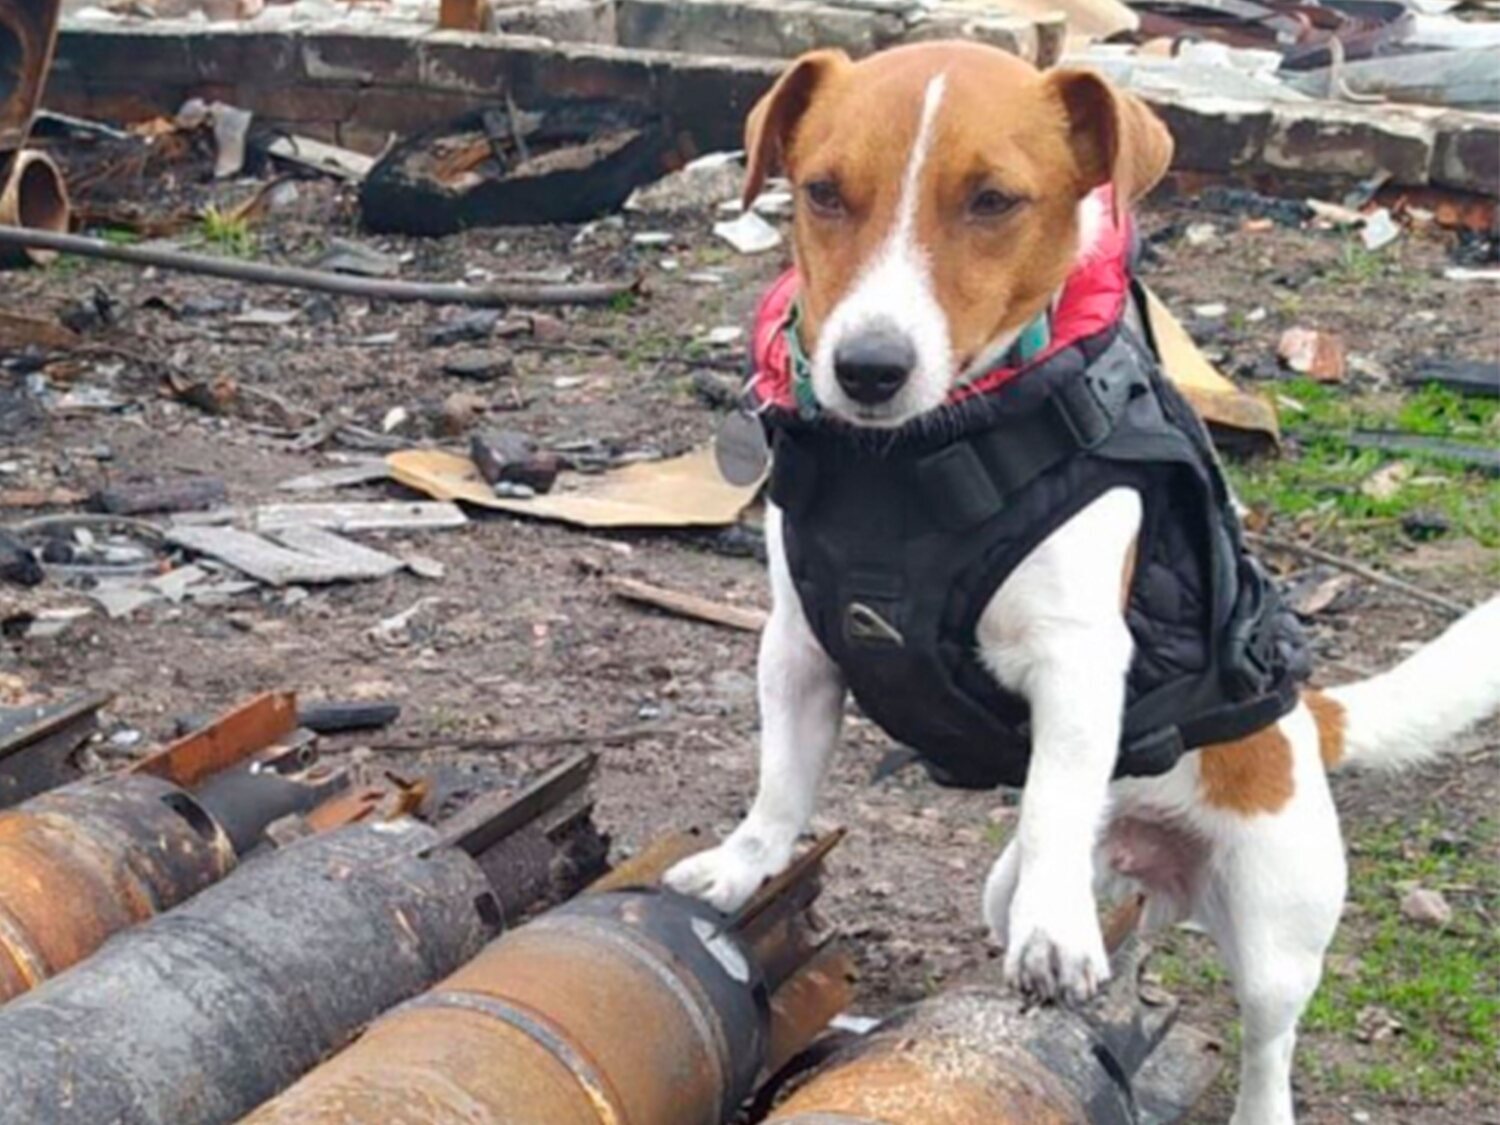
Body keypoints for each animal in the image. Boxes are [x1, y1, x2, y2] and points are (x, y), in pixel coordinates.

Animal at [669, 39, 1500, 1125]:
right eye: (821, 192)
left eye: (993, 200)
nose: (868, 368)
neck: (912, 466)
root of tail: (1309, 723)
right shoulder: (802, 647)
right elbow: (781, 784)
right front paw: (743, 865)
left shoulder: (1076, 662)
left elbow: (1058, 797)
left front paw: (1055, 933)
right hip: (1038, 881)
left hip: (1278, 922)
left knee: (1268, 1041)